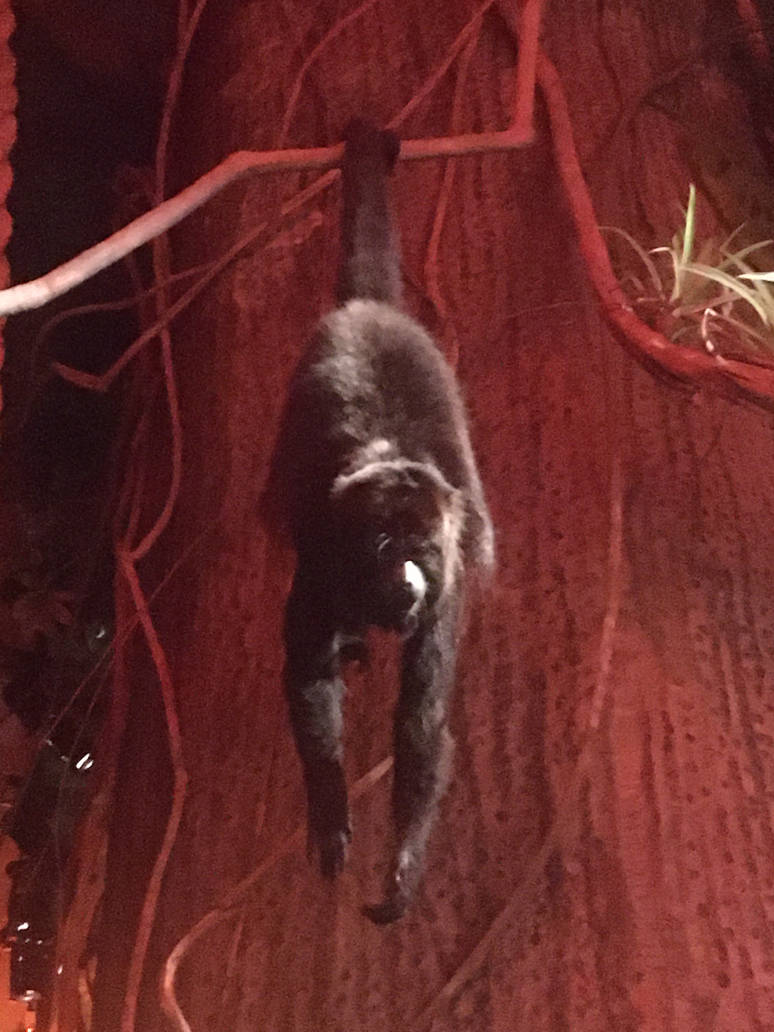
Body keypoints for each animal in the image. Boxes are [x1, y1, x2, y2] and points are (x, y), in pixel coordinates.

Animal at [270, 119, 494, 924]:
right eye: (383, 546)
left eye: (421, 551)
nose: (406, 580)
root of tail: (375, 309)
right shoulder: (324, 557)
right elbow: (306, 676)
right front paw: (331, 808)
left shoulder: (450, 586)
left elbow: (422, 719)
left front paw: (402, 865)